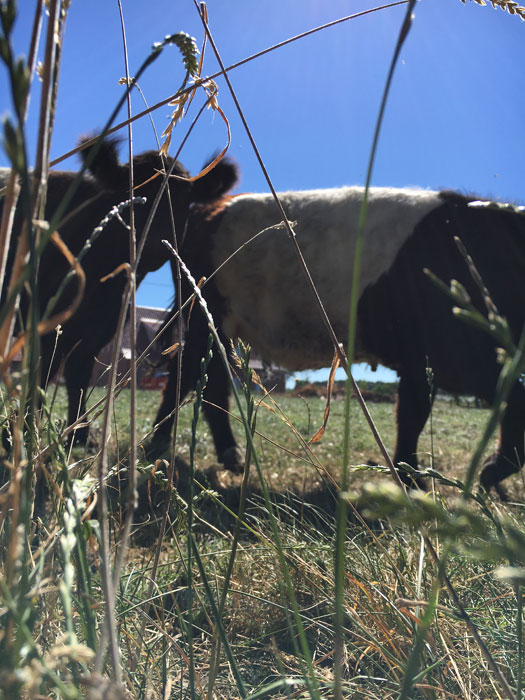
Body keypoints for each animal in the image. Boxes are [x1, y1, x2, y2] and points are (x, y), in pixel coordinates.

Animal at [0, 136, 237, 442]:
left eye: (184, 196)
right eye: (130, 189)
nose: (151, 239)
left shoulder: (102, 327)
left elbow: (78, 375)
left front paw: (80, 434)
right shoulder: (42, 319)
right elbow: (41, 372)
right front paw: (28, 426)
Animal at [147, 183, 524, 494]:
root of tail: (210, 207)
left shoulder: (424, 363)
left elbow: (411, 418)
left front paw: (411, 477)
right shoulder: (455, 357)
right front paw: (483, 472)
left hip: (220, 328)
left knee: (211, 379)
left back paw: (230, 455)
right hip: (204, 313)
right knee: (187, 373)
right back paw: (158, 446)